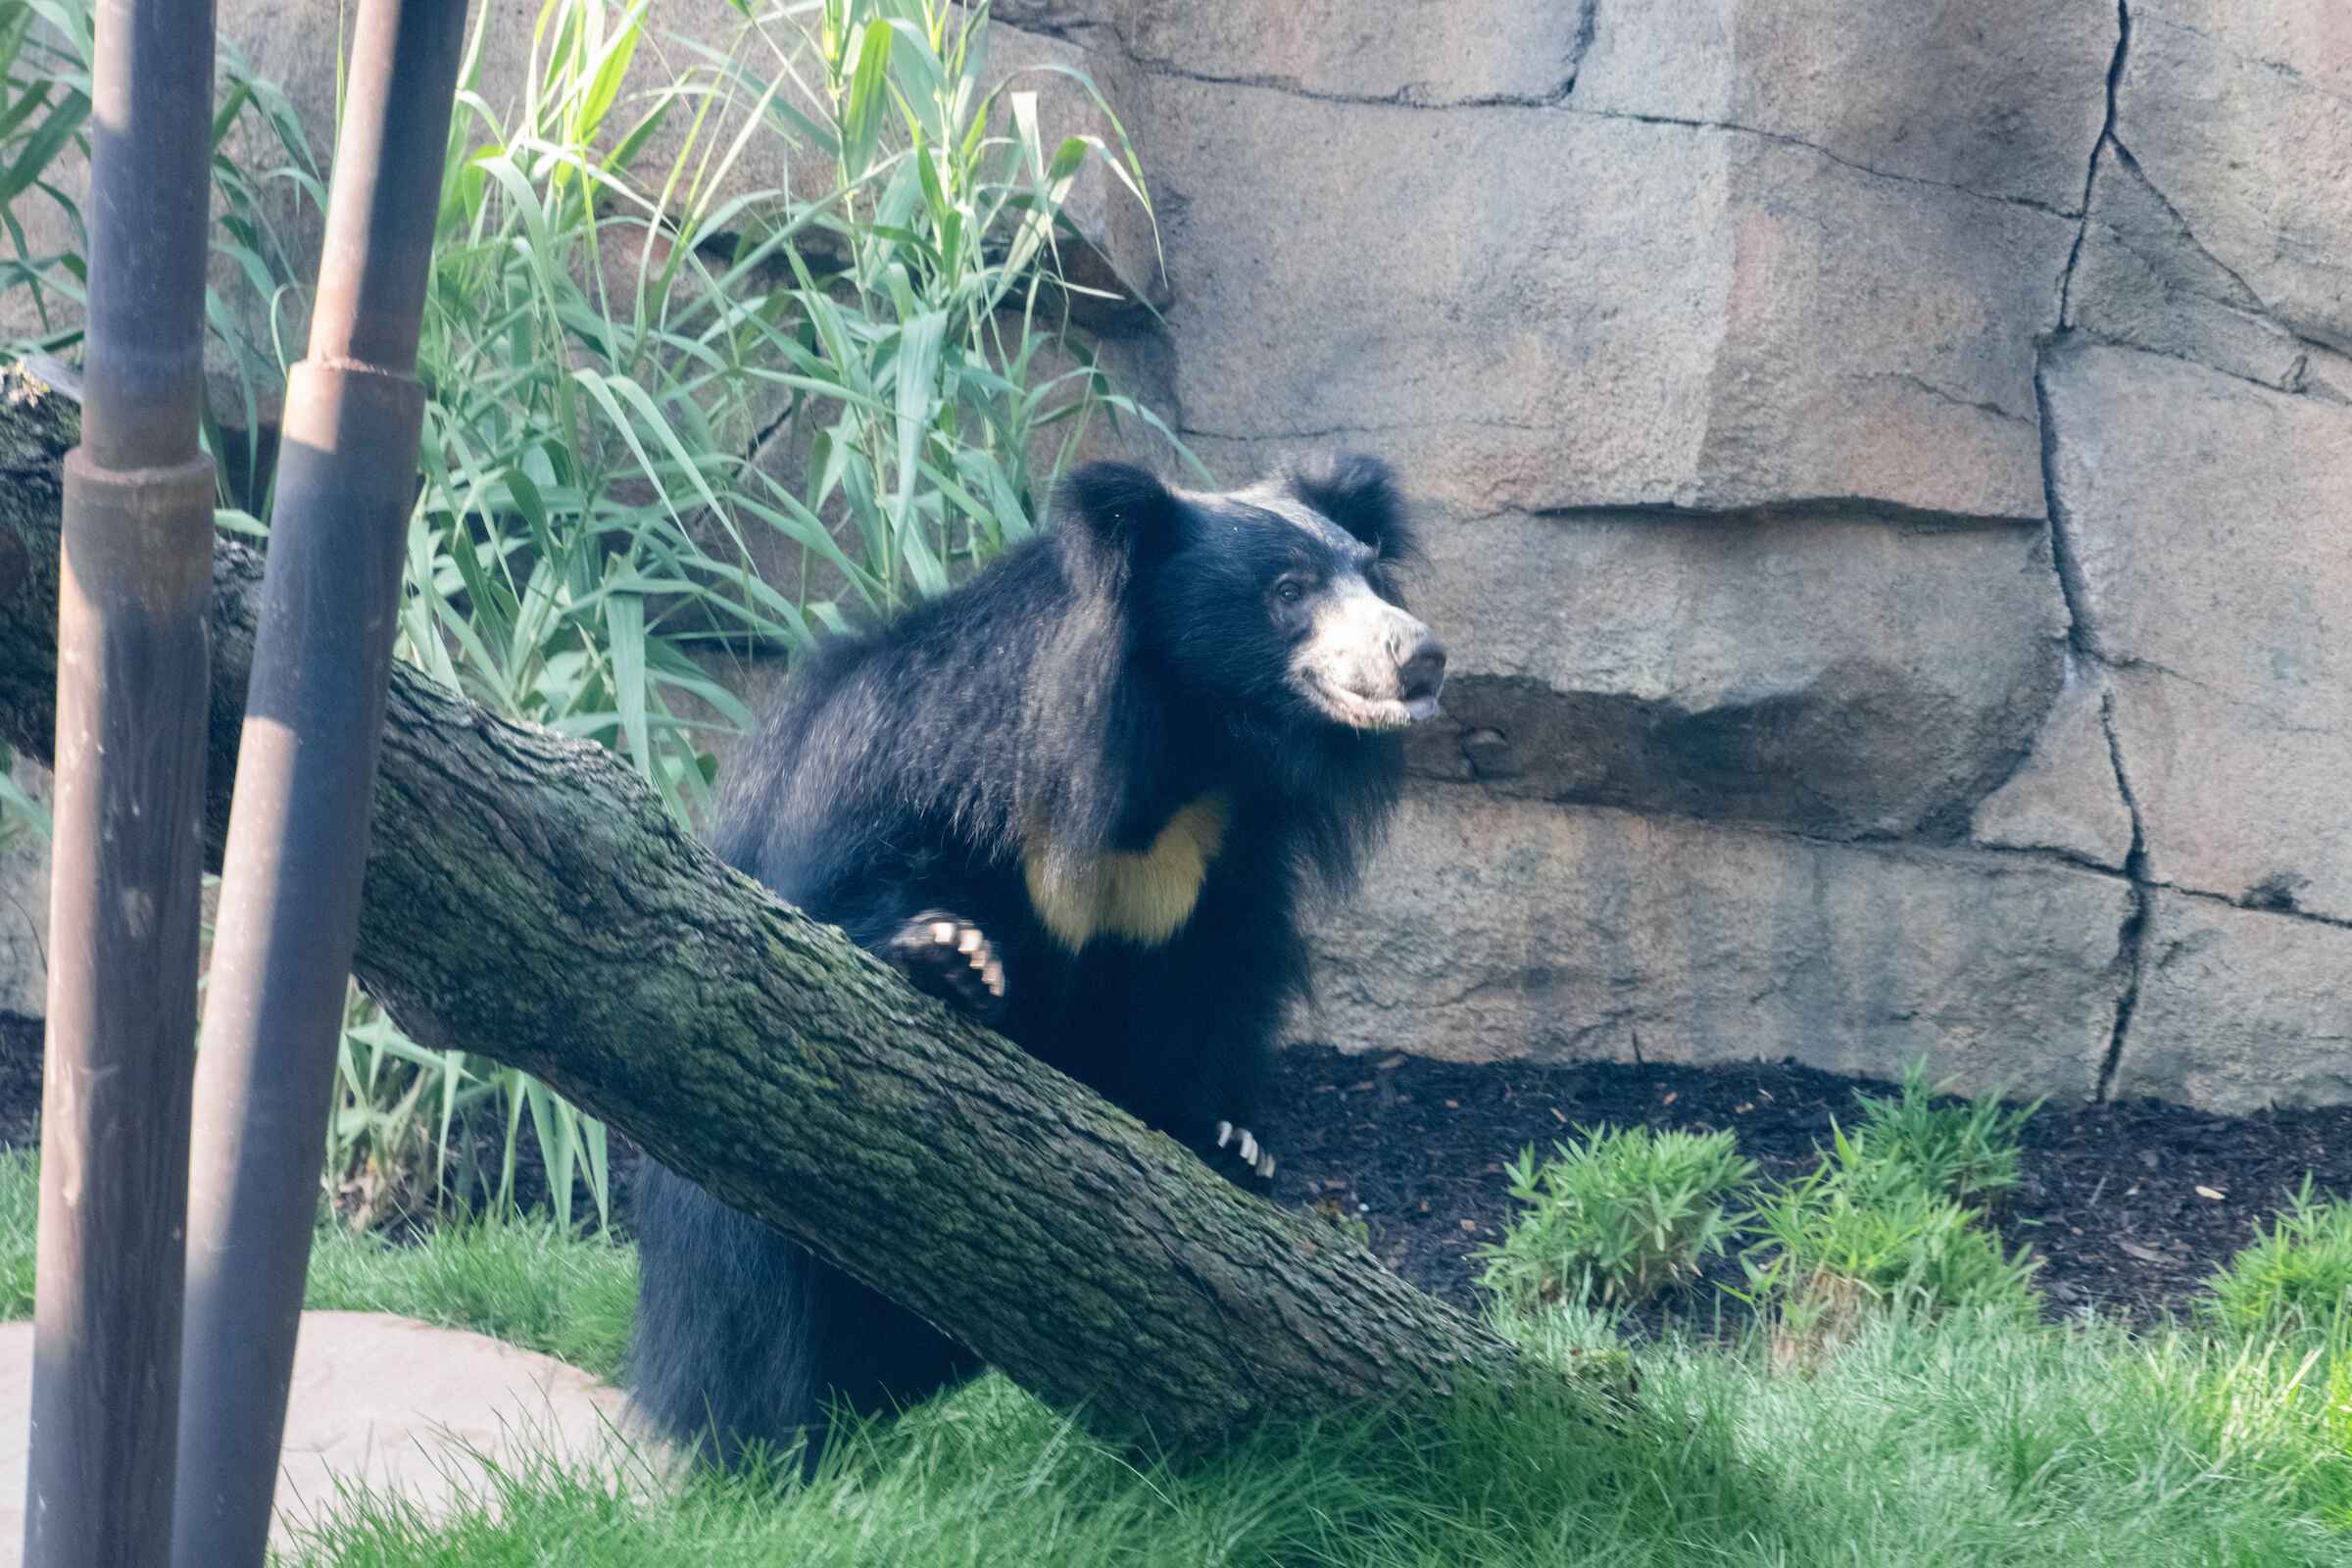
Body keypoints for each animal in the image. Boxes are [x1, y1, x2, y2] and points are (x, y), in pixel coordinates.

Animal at [628, 452, 1447, 1472]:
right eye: (1289, 592)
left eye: (1372, 578)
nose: (1421, 654)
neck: (1176, 757)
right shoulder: (905, 757)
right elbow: (834, 907)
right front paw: (953, 959)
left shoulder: (1218, 863)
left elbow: (1206, 996)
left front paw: (1232, 1142)